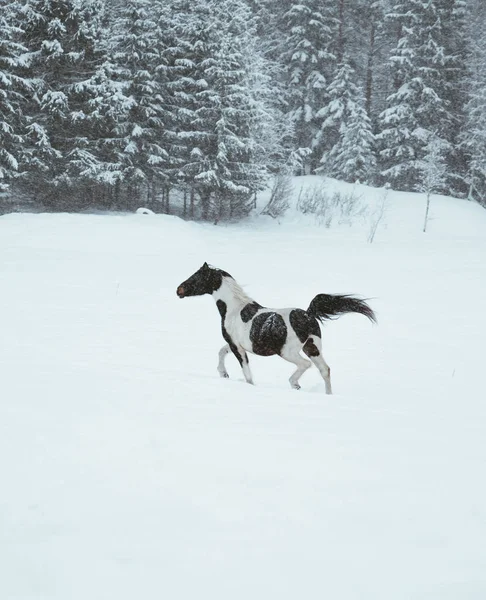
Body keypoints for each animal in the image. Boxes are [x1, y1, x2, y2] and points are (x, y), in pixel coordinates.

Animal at [177, 262, 378, 394]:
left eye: (196, 277)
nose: (178, 290)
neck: (234, 309)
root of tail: (308, 315)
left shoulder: (237, 347)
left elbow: (247, 373)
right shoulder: (237, 344)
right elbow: (221, 351)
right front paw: (223, 373)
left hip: (288, 352)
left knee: (306, 365)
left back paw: (295, 384)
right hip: (312, 347)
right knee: (325, 370)